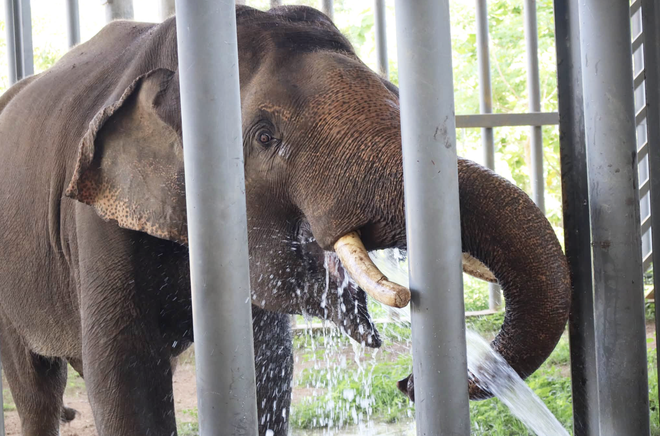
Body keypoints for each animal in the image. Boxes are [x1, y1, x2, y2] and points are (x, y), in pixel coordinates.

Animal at [0, 4, 571, 436]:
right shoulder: (95, 224)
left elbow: (268, 365)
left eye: (397, 94)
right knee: (37, 389)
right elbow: (126, 379)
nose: (408, 383)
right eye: (264, 136)